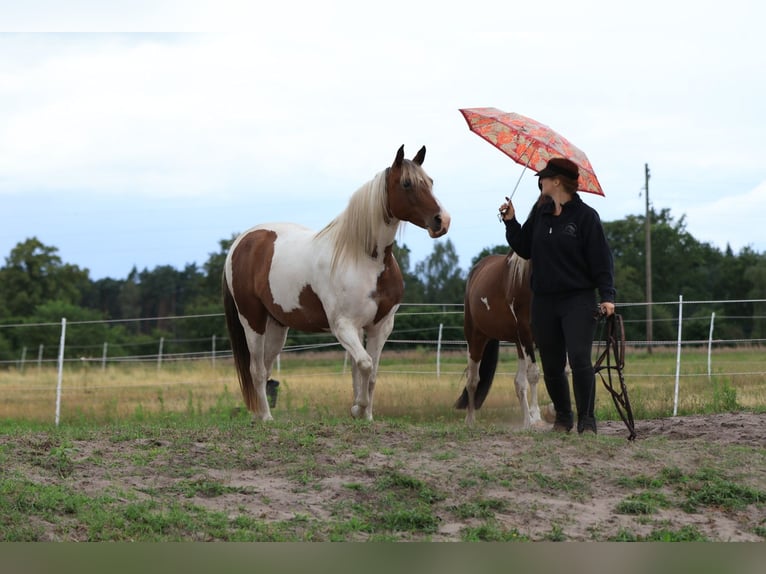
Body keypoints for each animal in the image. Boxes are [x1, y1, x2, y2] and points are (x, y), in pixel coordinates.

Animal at [223, 145, 450, 422]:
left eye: (430, 181)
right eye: (407, 183)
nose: (442, 221)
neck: (363, 257)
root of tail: (242, 241)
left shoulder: (381, 326)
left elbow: (370, 373)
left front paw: (366, 416)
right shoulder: (343, 325)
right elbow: (364, 364)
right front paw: (358, 408)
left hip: (277, 325)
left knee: (265, 369)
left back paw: (259, 415)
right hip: (252, 321)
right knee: (255, 369)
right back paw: (266, 418)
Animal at [454, 251, 547, 428]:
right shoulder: (526, 333)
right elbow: (533, 374)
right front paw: (535, 417)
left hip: (517, 342)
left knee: (518, 382)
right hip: (476, 338)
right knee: (473, 380)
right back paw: (470, 420)